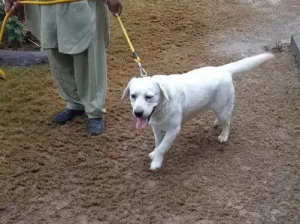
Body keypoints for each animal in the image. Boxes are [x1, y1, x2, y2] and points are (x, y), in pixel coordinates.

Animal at [121, 53, 274, 170]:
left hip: (223, 110)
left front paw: (156, 162)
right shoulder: (156, 128)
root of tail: (223, 69)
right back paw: (217, 123)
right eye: (133, 96)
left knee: (228, 122)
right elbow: (158, 143)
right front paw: (154, 153)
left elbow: (162, 146)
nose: (138, 113)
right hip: (218, 108)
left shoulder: (173, 130)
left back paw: (224, 136)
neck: (162, 105)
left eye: (149, 97)